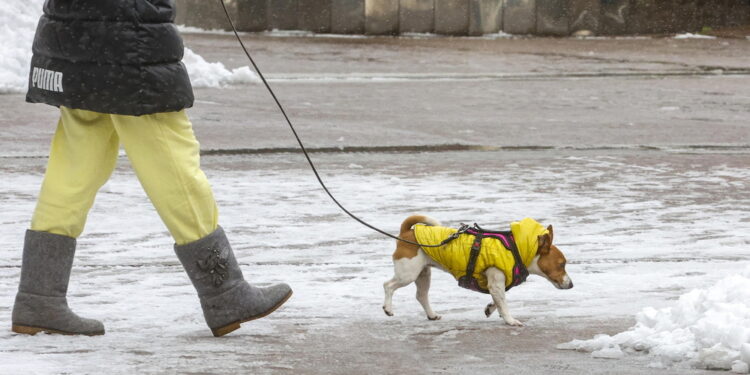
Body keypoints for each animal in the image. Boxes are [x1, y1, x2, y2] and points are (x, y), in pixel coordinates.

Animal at [384, 216, 572, 328]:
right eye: (561, 264)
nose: (571, 285)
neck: (517, 249)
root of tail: (407, 232)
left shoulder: (496, 285)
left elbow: (499, 301)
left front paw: (491, 308)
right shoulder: (496, 282)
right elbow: (504, 304)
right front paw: (510, 320)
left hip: (423, 274)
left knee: (421, 296)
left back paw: (432, 315)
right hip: (407, 274)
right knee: (388, 285)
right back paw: (388, 308)